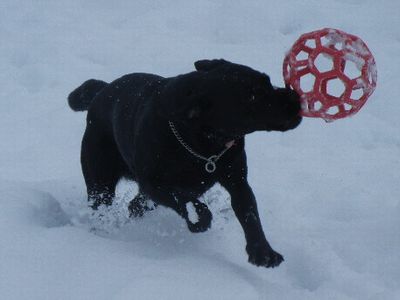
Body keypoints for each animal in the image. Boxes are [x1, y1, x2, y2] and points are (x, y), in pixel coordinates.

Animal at [68, 58, 300, 268]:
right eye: (252, 96)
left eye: (267, 81)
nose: (295, 97)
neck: (205, 142)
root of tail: (102, 90)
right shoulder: (155, 185)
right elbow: (185, 199)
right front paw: (200, 219)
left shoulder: (238, 181)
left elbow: (249, 213)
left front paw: (263, 252)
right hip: (100, 182)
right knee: (102, 206)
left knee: (135, 205)